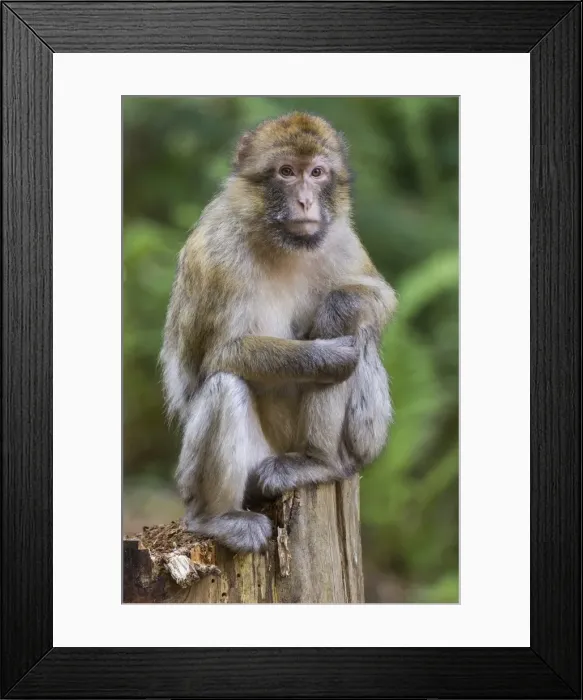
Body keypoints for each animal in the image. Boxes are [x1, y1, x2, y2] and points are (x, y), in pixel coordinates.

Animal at [160, 112, 397, 553]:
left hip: (355, 443)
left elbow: (380, 298)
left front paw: (336, 310)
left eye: (316, 173)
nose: (304, 201)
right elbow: (215, 358)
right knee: (225, 386)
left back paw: (318, 463)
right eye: (287, 172)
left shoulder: (340, 237)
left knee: (361, 336)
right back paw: (214, 519)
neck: (283, 244)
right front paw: (325, 355)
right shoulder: (217, 255)